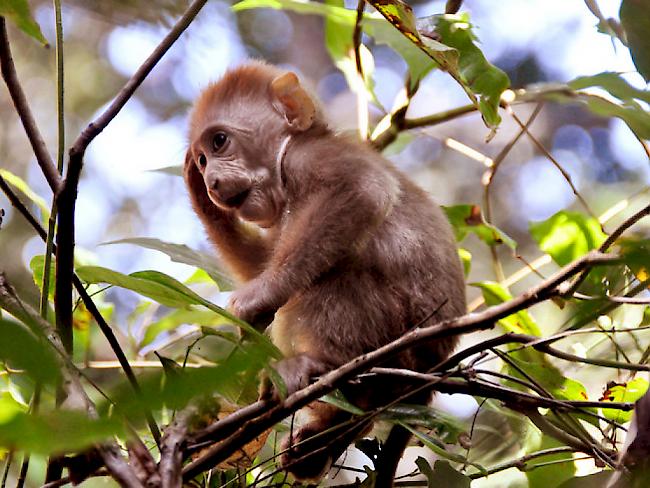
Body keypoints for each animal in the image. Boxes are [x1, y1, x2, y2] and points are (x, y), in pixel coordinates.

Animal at [184, 61, 466, 484]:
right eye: (202, 160)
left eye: (219, 142)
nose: (212, 182)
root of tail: (432, 372)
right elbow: (262, 261)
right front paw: (202, 202)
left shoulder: (310, 158)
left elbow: (363, 191)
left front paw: (258, 297)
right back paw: (326, 437)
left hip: (400, 340)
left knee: (334, 276)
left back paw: (323, 367)